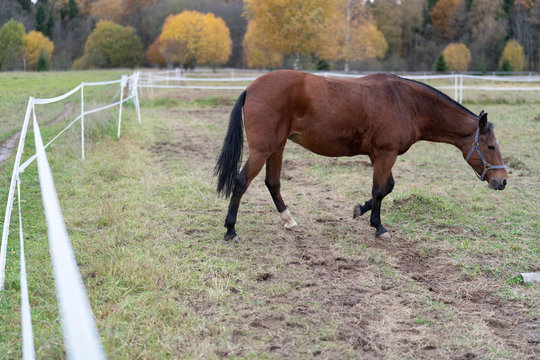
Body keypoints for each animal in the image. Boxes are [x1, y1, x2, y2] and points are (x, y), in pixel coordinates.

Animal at [214, 69, 506, 239]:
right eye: (491, 146)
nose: (501, 181)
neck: (406, 102)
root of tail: (251, 88)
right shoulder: (386, 154)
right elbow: (379, 190)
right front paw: (378, 226)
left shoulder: (378, 155)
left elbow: (387, 187)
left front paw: (358, 210)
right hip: (264, 148)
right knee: (241, 182)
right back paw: (230, 229)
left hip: (277, 146)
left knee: (272, 183)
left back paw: (289, 220)